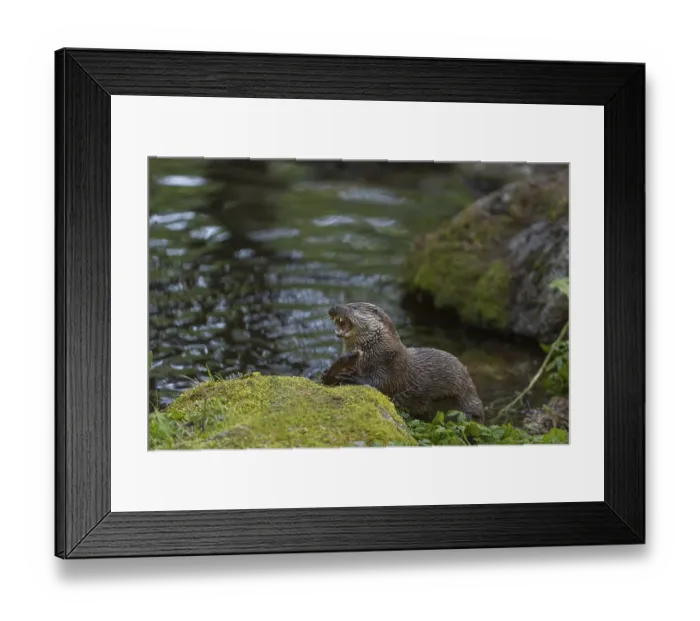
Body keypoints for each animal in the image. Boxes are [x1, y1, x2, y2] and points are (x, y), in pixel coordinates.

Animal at [321, 302, 484, 423]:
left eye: (353, 307)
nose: (332, 308)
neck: (377, 350)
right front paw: (334, 370)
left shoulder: (394, 365)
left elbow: (382, 384)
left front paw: (352, 377)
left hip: (466, 400)